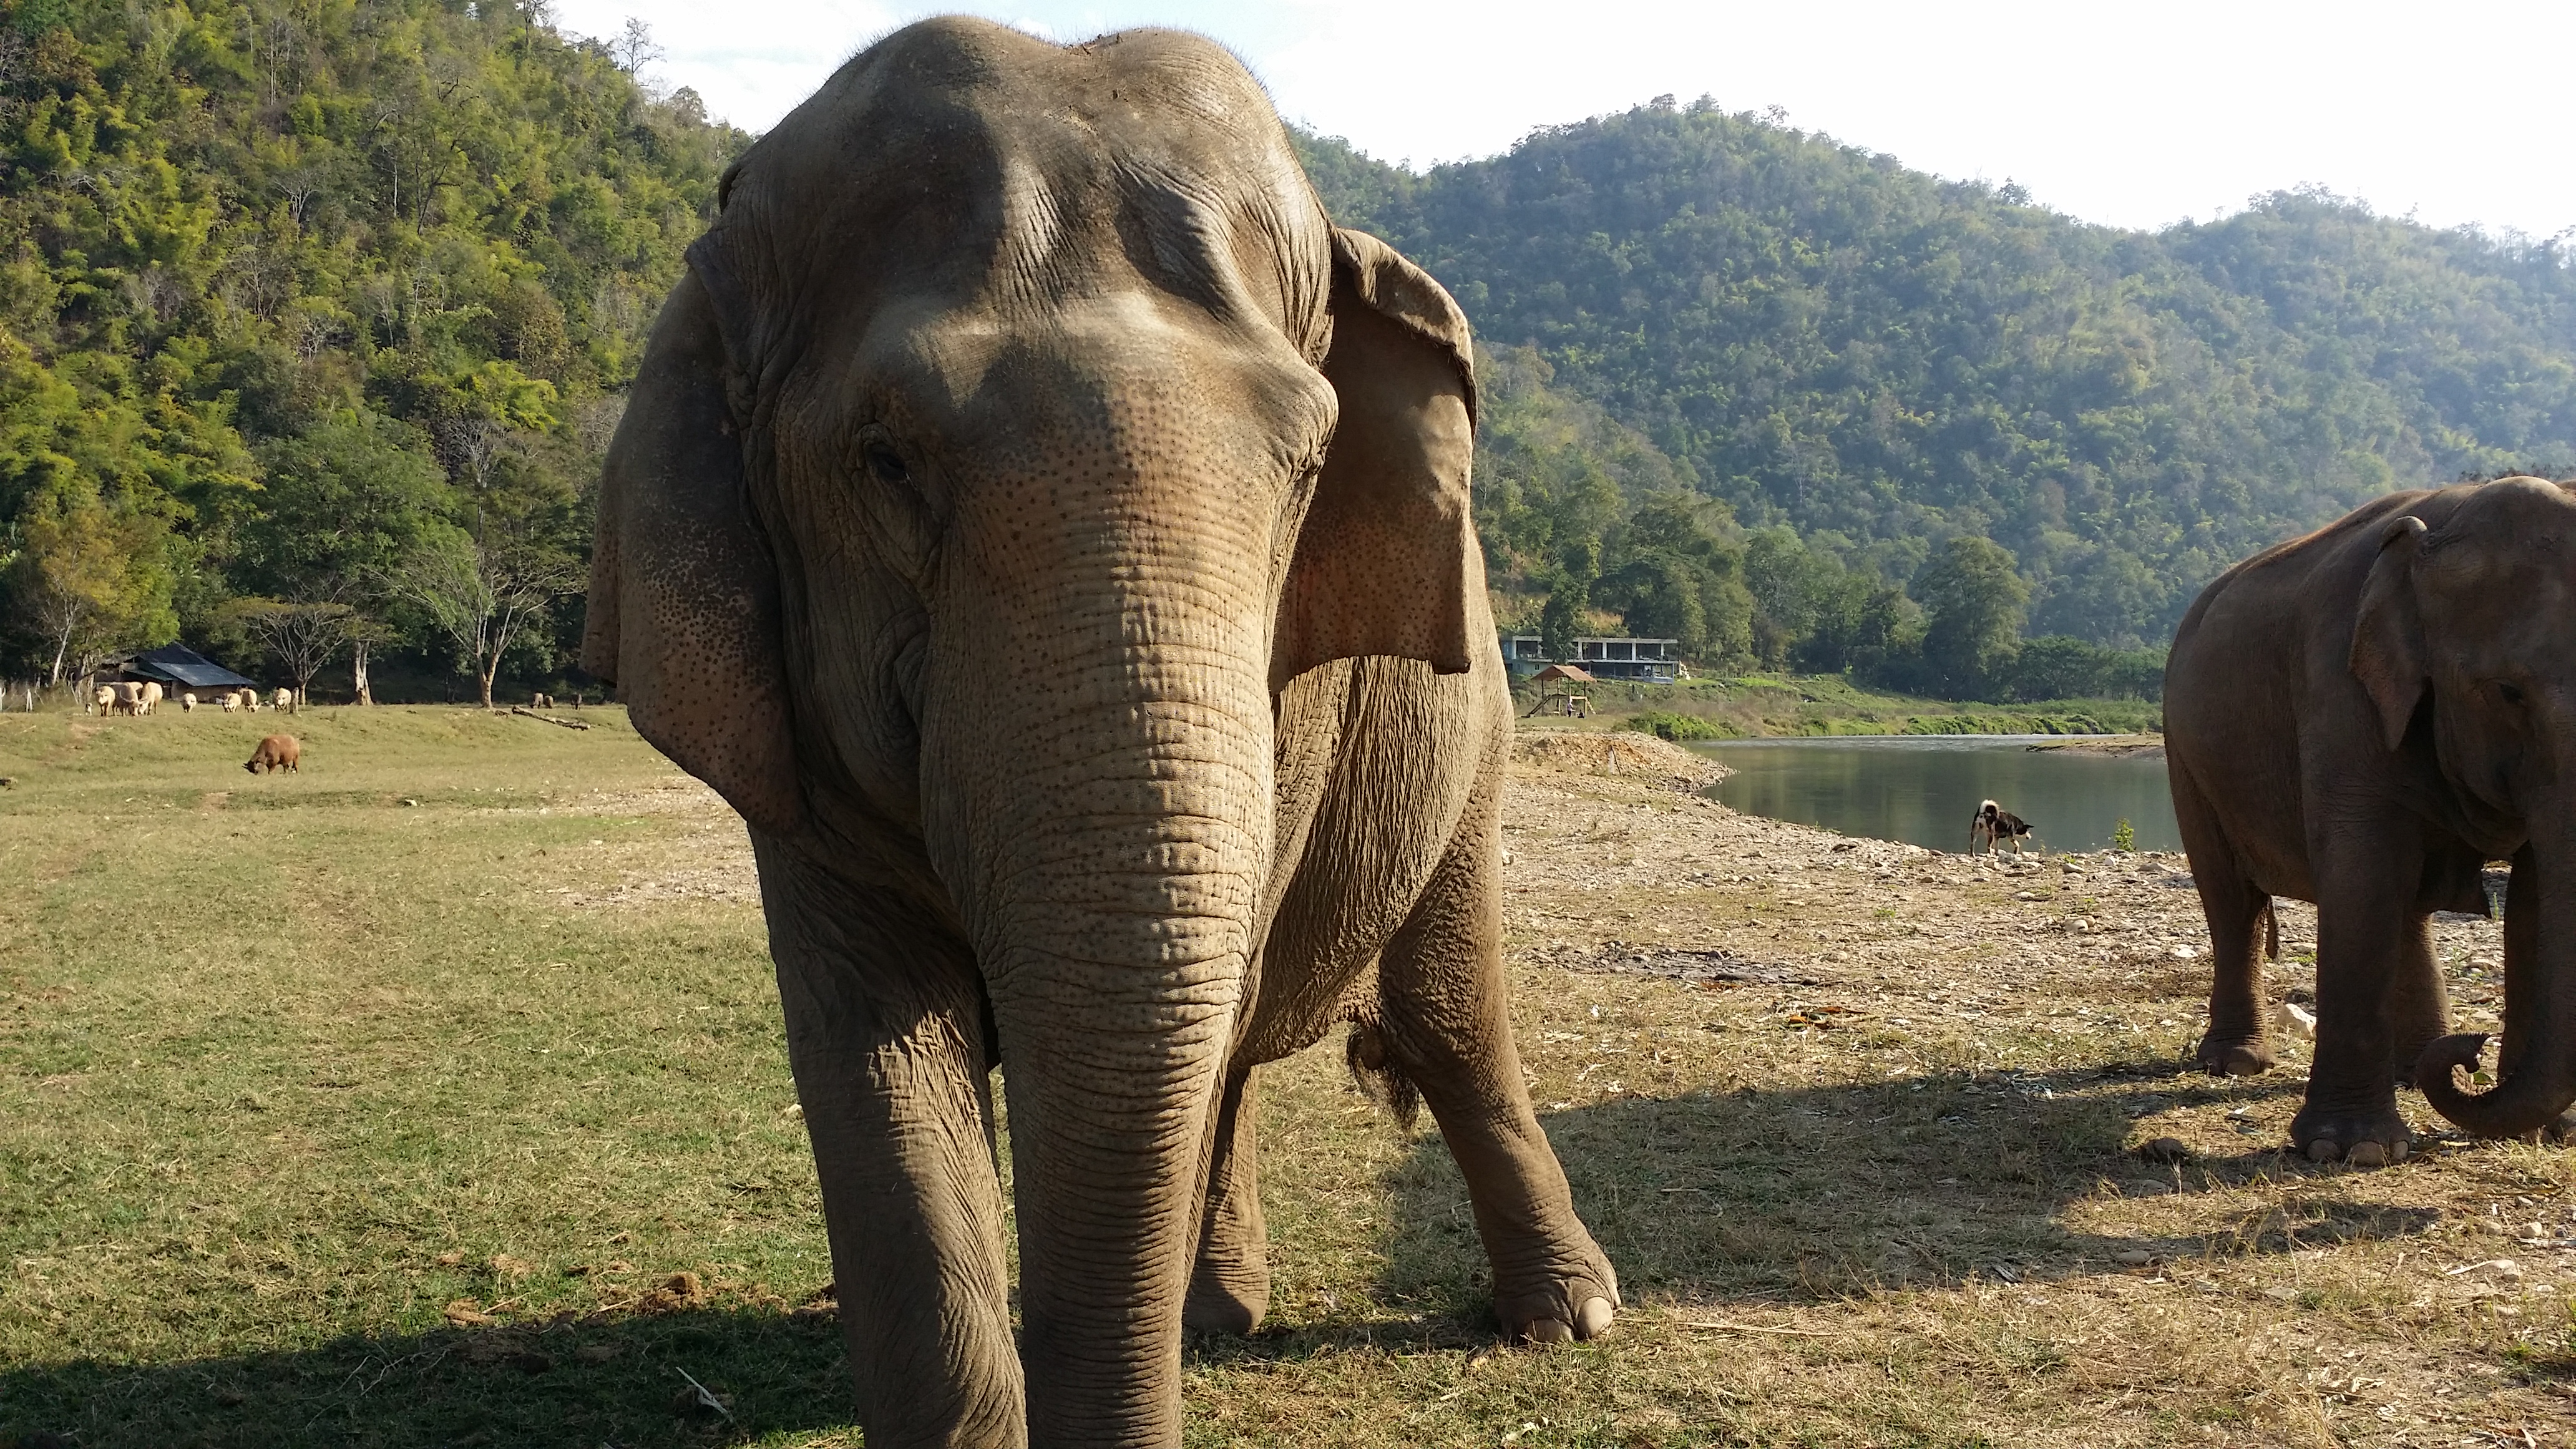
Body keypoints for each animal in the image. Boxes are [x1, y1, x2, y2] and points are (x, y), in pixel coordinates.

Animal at [582, 19, 1616, 1448]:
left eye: (1308, 467)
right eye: (885, 460)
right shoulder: (790, 766)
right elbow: (873, 1057)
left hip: (1479, 746)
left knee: (1447, 1007)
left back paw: (1564, 1318)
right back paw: (1223, 1315)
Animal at [2165, 476, 2576, 1164]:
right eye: (2508, 693)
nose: (2472, 1051)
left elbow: (2535, 896)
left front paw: (2548, 1135)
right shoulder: (2339, 685)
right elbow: (2363, 869)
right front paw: (2350, 1151)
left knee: (2407, 904)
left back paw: (2413, 1070)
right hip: (2185, 750)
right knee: (2231, 899)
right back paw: (2239, 1064)